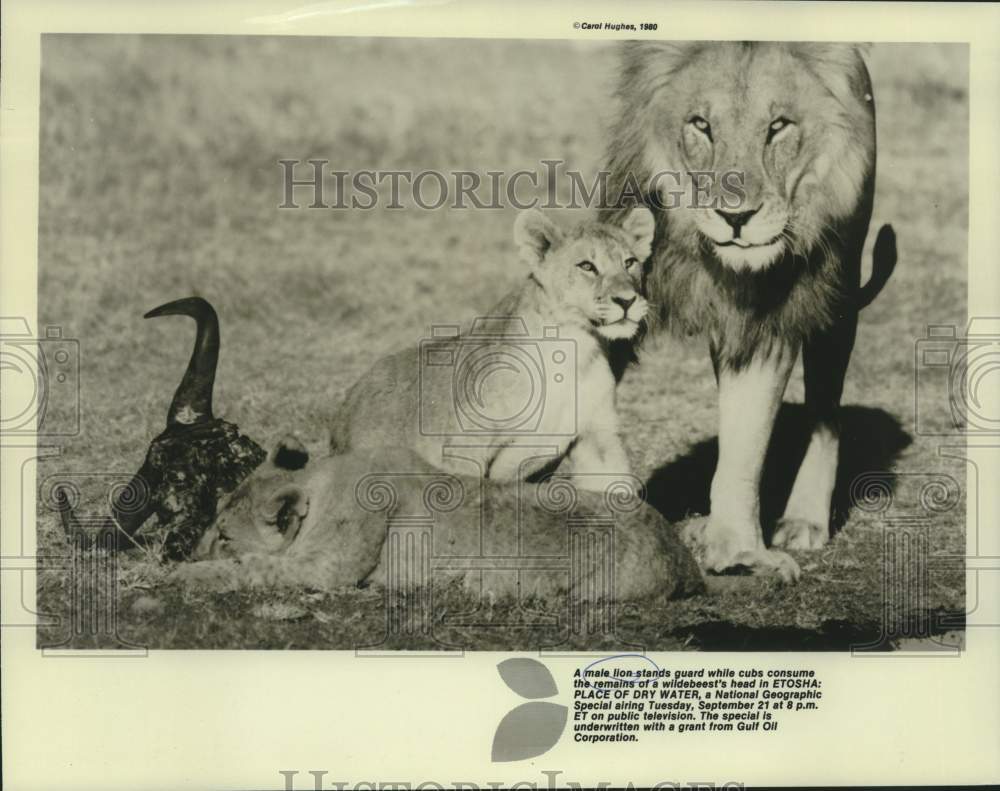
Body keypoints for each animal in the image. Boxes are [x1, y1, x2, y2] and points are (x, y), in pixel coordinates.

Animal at [328, 207, 656, 486]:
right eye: (587, 266)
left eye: (630, 262)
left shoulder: (596, 436)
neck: (575, 348)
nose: (627, 300)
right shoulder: (465, 446)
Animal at [600, 41, 900, 580]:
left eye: (778, 126)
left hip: (838, 289)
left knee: (826, 412)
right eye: (701, 125)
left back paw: (803, 519)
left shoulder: (770, 317)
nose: (735, 218)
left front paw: (739, 550)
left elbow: (747, 437)